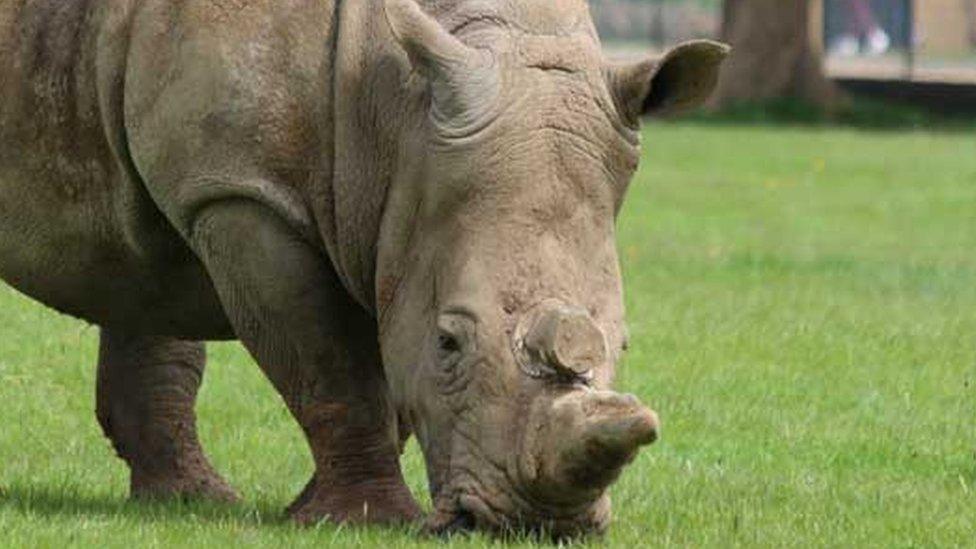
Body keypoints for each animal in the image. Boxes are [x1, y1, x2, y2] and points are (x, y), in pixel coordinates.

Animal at [0, 0, 724, 536]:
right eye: (449, 341)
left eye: (622, 343)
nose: (536, 525)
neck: (398, 109)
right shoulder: (243, 192)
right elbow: (332, 366)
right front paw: (369, 520)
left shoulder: (387, 212)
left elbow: (385, 364)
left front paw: (304, 511)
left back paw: (192, 502)